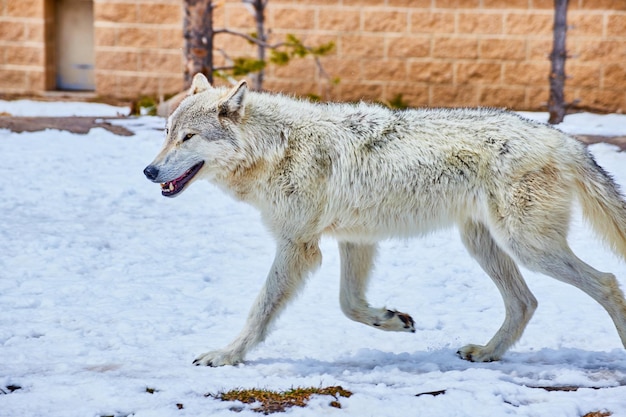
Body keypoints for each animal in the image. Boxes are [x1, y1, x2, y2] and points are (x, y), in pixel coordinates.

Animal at [143, 73, 624, 366]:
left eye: (188, 138)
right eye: (166, 133)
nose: (148, 171)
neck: (278, 148)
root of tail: (567, 140)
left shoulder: (297, 246)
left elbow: (260, 310)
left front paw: (227, 356)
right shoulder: (355, 240)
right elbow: (349, 304)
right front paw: (392, 320)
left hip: (528, 247)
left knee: (606, 283)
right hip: (485, 245)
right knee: (526, 303)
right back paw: (487, 352)